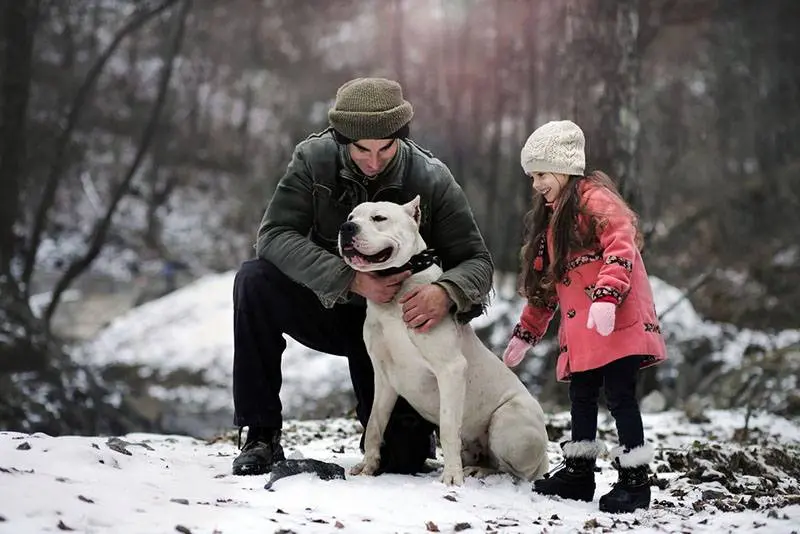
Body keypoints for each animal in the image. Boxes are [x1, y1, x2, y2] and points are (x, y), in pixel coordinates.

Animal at [338, 198, 552, 490]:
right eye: (351, 216)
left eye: (379, 218)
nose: (346, 227)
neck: (398, 291)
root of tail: (544, 461)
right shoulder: (383, 377)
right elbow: (374, 423)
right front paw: (368, 466)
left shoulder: (450, 369)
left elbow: (450, 427)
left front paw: (451, 477)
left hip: (509, 420)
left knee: (515, 473)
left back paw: (478, 471)